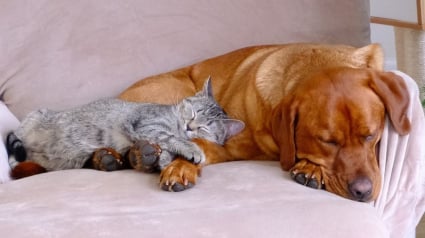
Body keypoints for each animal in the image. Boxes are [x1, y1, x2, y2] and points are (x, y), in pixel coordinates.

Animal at [6, 78, 243, 173]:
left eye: (205, 127)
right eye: (193, 112)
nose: (190, 126)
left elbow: (168, 146)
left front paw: (165, 161)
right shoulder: (146, 124)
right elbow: (171, 138)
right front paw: (191, 149)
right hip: (32, 119)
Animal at [117, 43, 410, 203]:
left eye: (371, 135)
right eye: (327, 141)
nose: (363, 192)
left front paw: (309, 169)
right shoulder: (226, 143)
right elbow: (194, 144)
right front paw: (180, 167)